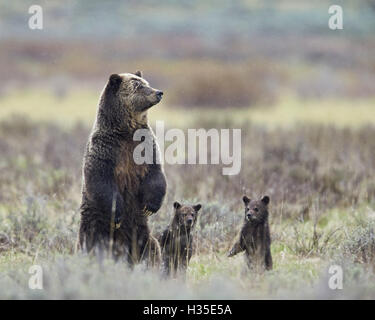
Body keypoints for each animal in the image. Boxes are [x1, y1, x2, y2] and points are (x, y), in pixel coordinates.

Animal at [78, 71, 167, 266]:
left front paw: (150, 206)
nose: (159, 92)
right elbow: (101, 181)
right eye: (138, 86)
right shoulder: (106, 150)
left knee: (151, 248)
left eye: (146, 82)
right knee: (90, 245)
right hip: (94, 227)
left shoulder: (146, 146)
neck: (127, 132)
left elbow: (156, 174)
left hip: (141, 233)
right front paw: (117, 215)